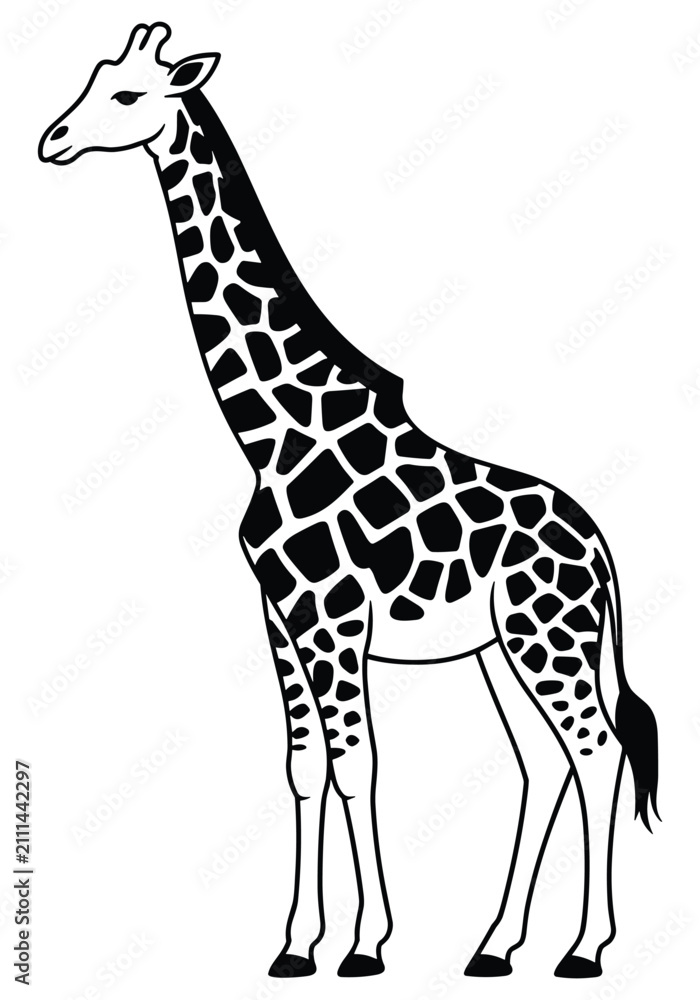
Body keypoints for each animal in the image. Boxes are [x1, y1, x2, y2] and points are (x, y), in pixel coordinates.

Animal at [39, 23, 659, 980]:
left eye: (129, 96)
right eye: (92, 79)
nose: (52, 140)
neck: (271, 433)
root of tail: (598, 545)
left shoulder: (334, 619)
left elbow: (356, 762)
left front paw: (366, 944)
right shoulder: (280, 616)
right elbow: (303, 767)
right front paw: (297, 945)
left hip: (549, 636)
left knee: (598, 752)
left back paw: (586, 949)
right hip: (500, 648)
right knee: (543, 763)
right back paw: (495, 946)